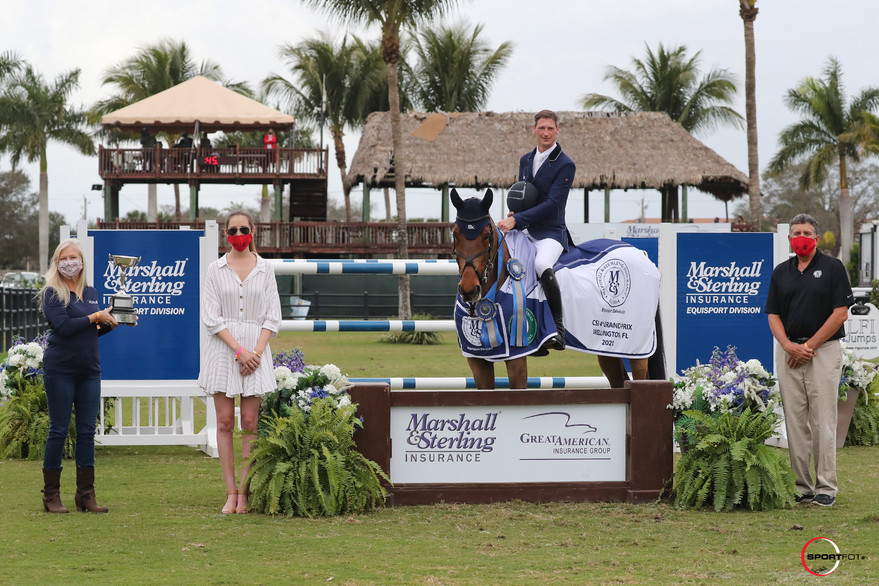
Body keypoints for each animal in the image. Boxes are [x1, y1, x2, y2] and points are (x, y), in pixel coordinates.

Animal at [454, 187, 668, 388]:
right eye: (455, 234)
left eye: (486, 235)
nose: (469, 290)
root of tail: (641, 254)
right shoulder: (476, 360)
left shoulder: (517, 356)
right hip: (606, 347)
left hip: (636, 348)